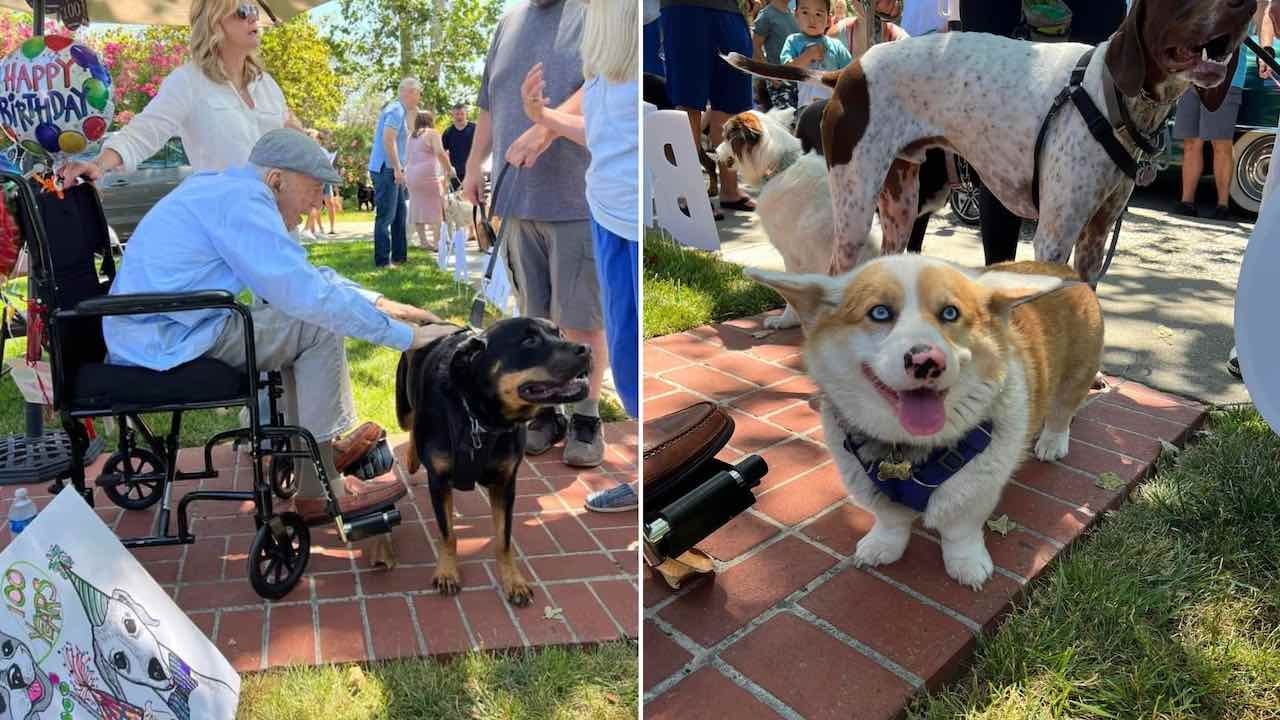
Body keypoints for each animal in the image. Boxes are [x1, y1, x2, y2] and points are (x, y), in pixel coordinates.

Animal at [727, 0, 1254, 280]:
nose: (1245, 5)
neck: (1110, 99)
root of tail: (849, 69)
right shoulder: (1054, 236)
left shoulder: (1096, 233)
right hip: (856, 205)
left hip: (901, 206)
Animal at [747, 254, 1100, 586]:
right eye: (879, 312)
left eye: (950, 313)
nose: (927, 361)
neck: (906, 447)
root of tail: (1066, 270)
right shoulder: (868, 484)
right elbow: (890, 521)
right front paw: (882, 547)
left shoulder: (977, 489)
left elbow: (961, 531)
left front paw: (968, 566)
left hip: (1077, 375)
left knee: (1063, 410)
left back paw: (1052, 443)